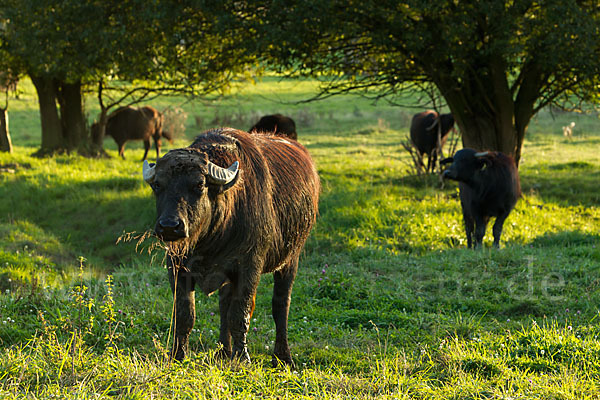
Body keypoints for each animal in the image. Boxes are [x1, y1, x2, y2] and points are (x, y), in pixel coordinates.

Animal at [144, 127, 322, 366]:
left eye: (199, 184)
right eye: (157, 185)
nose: (170, 226)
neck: (210, 240)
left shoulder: (248, 267)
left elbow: (240, 314)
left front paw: (242, 356)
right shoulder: (177, 268)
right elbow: (184, 315)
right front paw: (177, 355)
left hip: (290, 259)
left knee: (280, 305)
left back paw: (282, 356)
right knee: (223, 304)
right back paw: (223, 351)